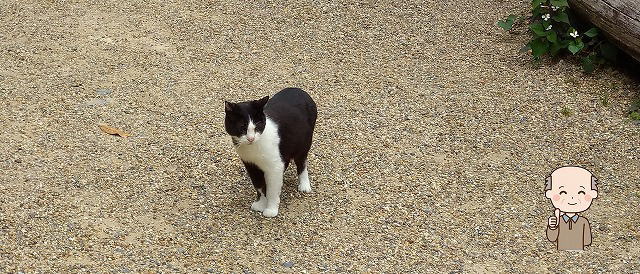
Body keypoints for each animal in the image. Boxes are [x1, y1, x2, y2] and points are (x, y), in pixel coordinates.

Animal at [224, 87, 318, 216]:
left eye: (258, 125)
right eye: (242, 127)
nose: (251, 138)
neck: (254, 147)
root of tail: (300, 90)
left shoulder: (274, 166)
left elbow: (272, 190)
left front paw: (271, 210)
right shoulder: (251, 165)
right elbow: (259, 186)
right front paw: (260, 204)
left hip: (303, 142)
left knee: (301, 162)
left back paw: (304, 185)